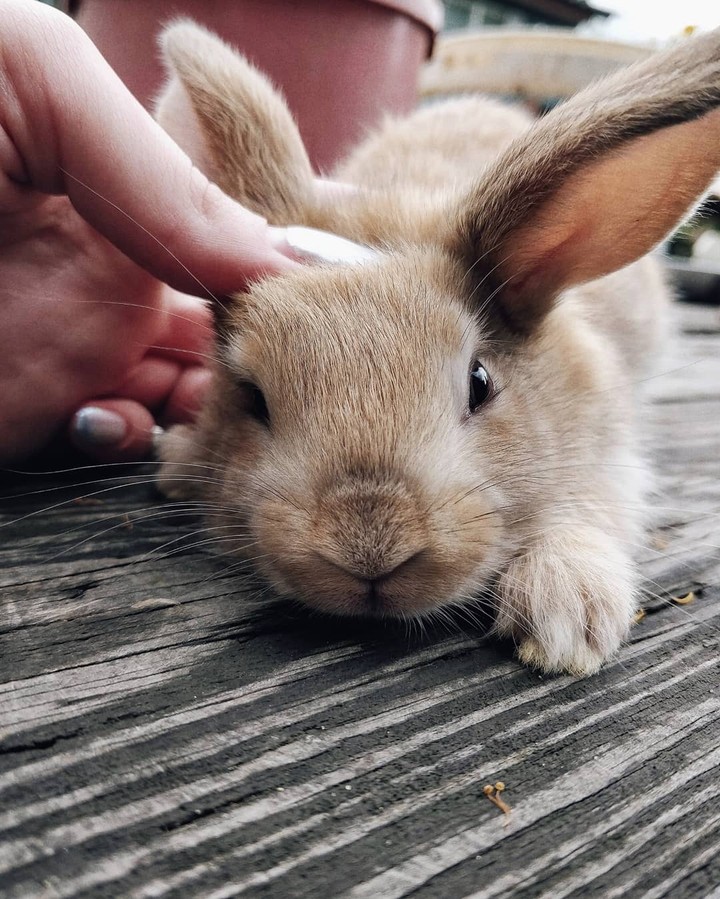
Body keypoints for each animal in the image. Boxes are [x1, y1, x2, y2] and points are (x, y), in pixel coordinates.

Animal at [154, 20, 720, 675]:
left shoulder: (609, 447)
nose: (369, 546)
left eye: (481, 382)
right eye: (251, 398)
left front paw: (564, 620)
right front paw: (178, 460)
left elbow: (592, 503)